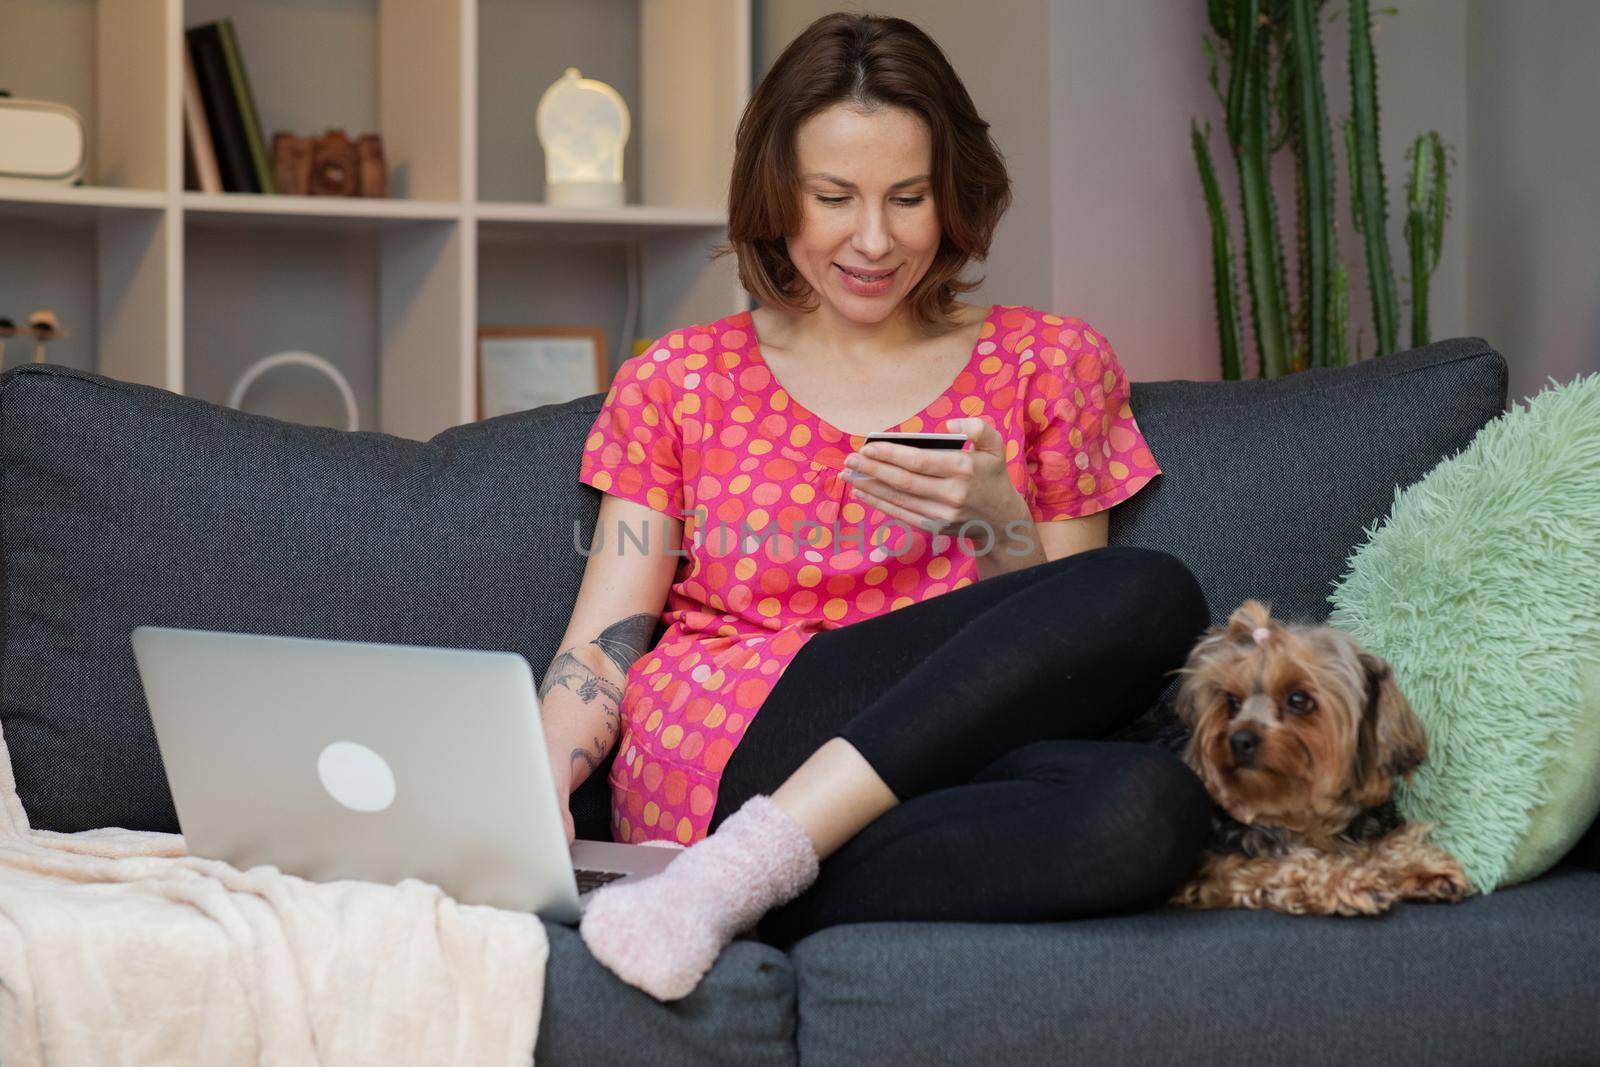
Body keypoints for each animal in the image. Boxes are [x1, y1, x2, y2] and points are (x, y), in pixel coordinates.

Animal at [1152, 598, 1472, 915]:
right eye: (1232, 702)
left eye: (1298, 700)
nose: (1239, 740)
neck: (1299, 816)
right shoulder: (1218, 869)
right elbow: (1285, 867)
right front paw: (1350, 880)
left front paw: (1419, 866)